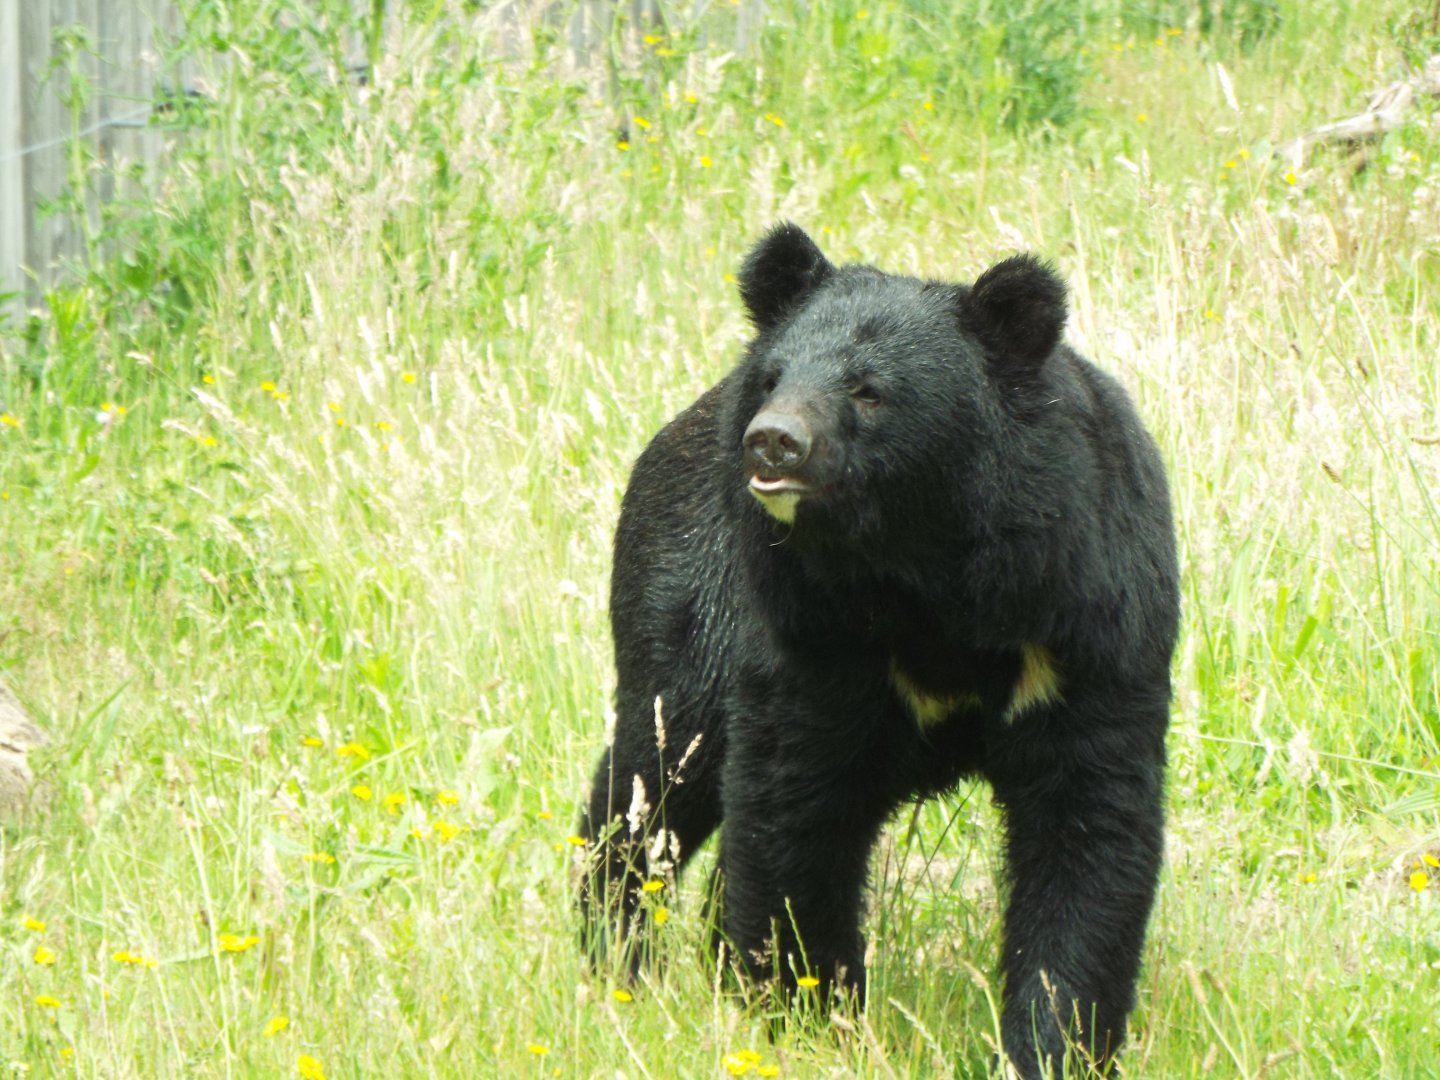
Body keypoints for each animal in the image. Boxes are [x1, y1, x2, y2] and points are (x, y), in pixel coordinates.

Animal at [578, 223, 1179, 1079]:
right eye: (774, 378)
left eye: (869, 390)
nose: (774, 443)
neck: (918, 573)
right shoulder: (806, 634)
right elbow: (795, 813)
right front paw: (808, 1015)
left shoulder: (1088, 625)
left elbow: (1090, 831)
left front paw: (1054, 1041)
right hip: (684, 600)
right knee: (652, 785)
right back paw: (616, 957)